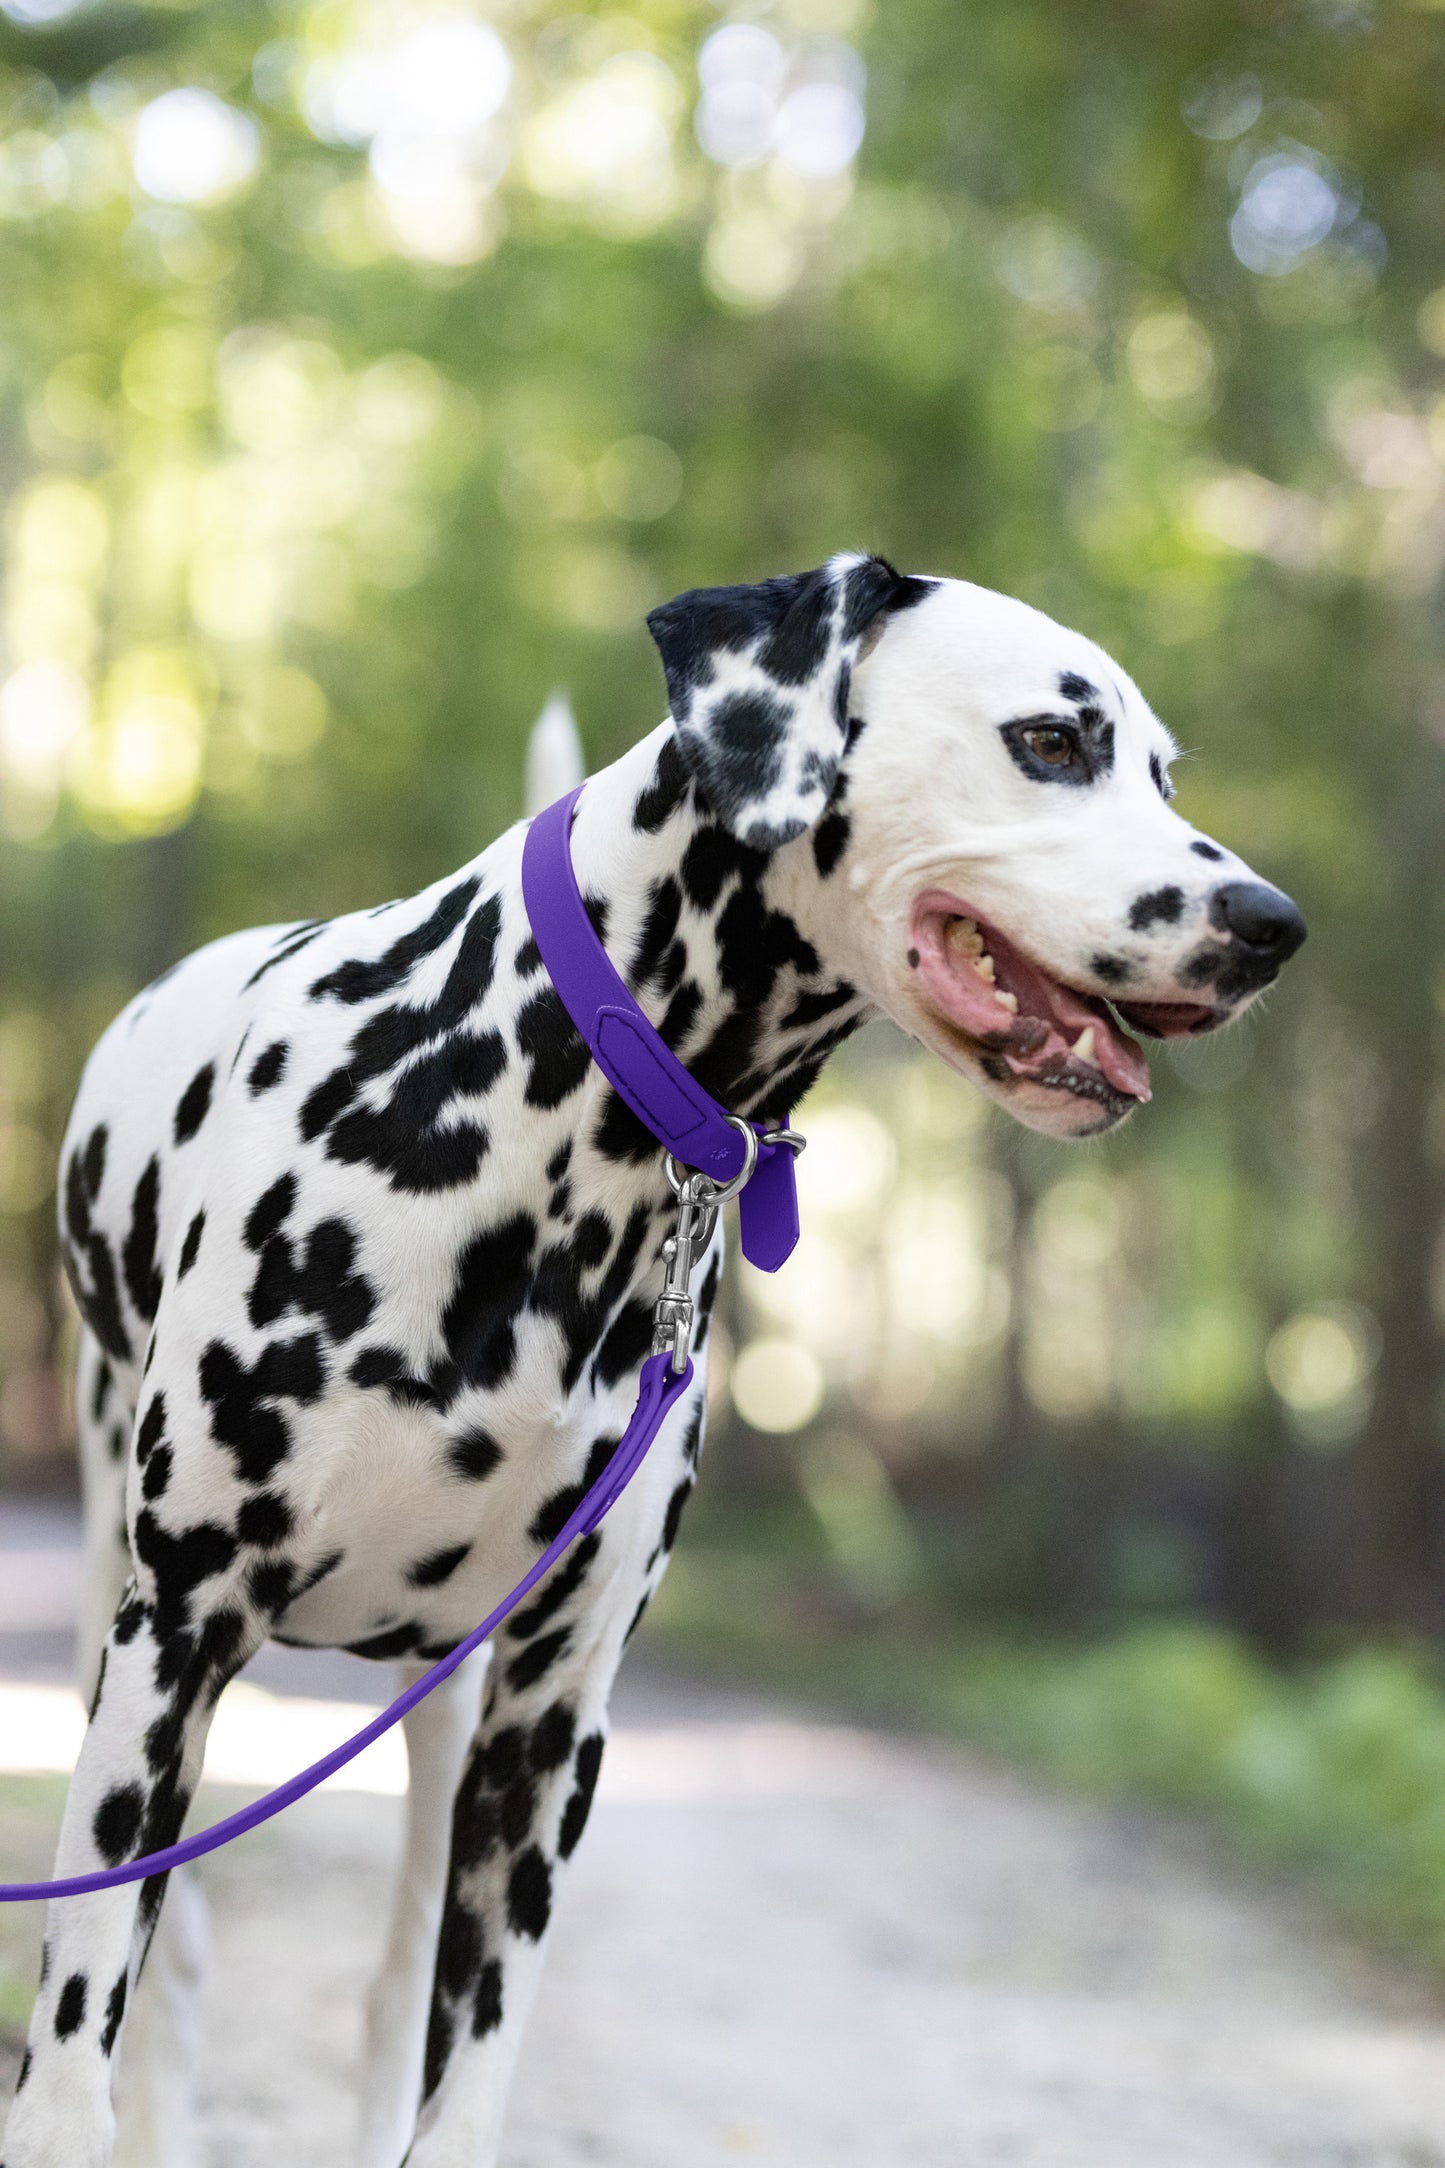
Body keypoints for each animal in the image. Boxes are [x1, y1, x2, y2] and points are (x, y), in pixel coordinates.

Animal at [2, 555, 1308, 2168]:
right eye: (1053, 743)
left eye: (1162, 770)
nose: (1271, 923)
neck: (545, 1123)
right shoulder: (179, 1642)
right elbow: (75, 2055)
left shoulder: (550, 1720)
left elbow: (462, 2083)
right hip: (124, 1633)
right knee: (169, 1986)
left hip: (442, 1711)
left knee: (386, 2000)